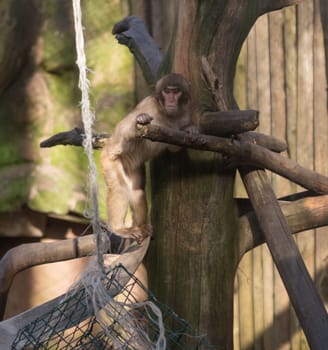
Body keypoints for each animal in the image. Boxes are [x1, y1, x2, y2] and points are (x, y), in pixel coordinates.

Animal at [101, 71, 196, 241]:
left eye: (176, 92)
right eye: (167, 92)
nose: (171, 100)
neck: (167, 114)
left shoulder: (185, 113)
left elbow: (173, 147)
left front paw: (190, 129)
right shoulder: (148, 105)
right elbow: (126, 129)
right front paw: (139, 121)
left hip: (131, 165)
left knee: (137, 191)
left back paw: (141, 227)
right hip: (109, 159)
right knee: (119, 187)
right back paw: (118, 228)